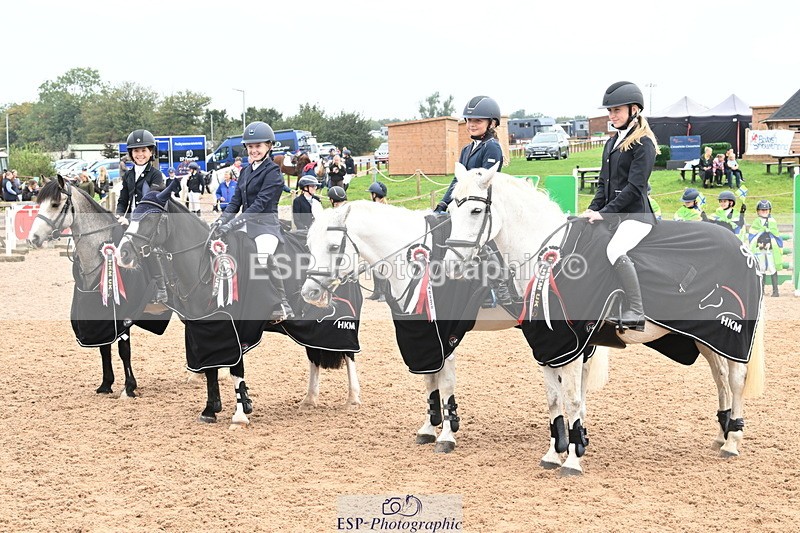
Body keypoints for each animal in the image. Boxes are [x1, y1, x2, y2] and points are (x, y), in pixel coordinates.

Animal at [27, 176, 171, 398]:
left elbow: (124, 350)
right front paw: (106, 384)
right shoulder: (100, 313)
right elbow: (104, 348)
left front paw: (129, 387)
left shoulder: (124, 314)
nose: (32, 238)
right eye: (38, 203)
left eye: (55, 204)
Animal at [115, 184, 362, 427]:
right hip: (310, 325)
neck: (206, 265)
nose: (123, 254)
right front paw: (210, 409)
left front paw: (241, 413)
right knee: (313, 355)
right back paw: (309, 399)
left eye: (151, 218)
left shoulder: (237, 328)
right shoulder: (204, 328)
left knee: (348, 353)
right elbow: (211, 368)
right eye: (132, 214)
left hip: (339, 320)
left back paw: (352, 398)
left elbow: (236, 369)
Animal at [299, 201, 609, 457]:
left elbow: (446, 383)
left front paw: (447, 435)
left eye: (333, 247)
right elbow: (430, 382)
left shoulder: (444, 335)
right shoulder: (421, 336)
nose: (309, 292)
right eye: (309, 245)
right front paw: (429, 427)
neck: (419, 264)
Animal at [442, 163, 766, 474]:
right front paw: (553, 454)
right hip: (705, 337)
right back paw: (721, 435)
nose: (451, 267)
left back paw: (732, 441)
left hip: (731, 334)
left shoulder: (570, 346)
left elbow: (572, 399)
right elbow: (554, 399)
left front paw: (572, 461)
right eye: (450, 211)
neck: (552, 258)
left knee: (736, 378)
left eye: (475, 210)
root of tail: (741, 246)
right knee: (720, 376)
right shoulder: (548, 346)